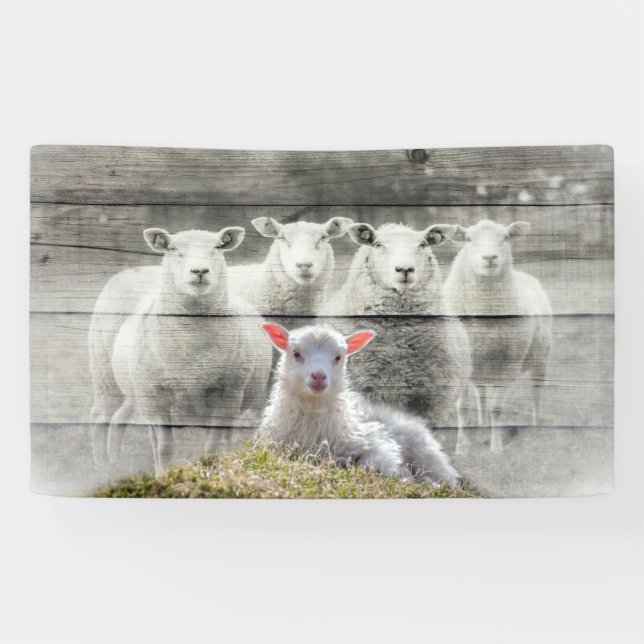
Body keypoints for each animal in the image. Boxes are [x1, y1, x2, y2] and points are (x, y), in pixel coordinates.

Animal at [89, 226, 273, 475]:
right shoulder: (156, 397)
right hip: (109, 377)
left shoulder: (228, 394)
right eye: (173, 249)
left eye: (218, 247)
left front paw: (211, 473)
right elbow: (165, 447)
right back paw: (102, 466)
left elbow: (212, 445)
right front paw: (164, 475)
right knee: (103, 416)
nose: (199, 270)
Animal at [256, 323, 459, 484]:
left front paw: (404, 477)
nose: (319, 376)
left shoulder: (375, 440)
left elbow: (374, 463)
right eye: (296, 353)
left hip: (426, 454)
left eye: (338, 357)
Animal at [442, 219, 553, 453]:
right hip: (480, 366)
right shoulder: (461, 363)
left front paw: (496, 448)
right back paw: (482, 425)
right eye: (468, 239)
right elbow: (462, 408)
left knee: (536, 393)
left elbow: (497, 407)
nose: (490, 258)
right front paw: (462, 446)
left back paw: (536, 426)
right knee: (480, 394)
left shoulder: (507, 365)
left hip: (540, 358)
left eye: (506, 238)